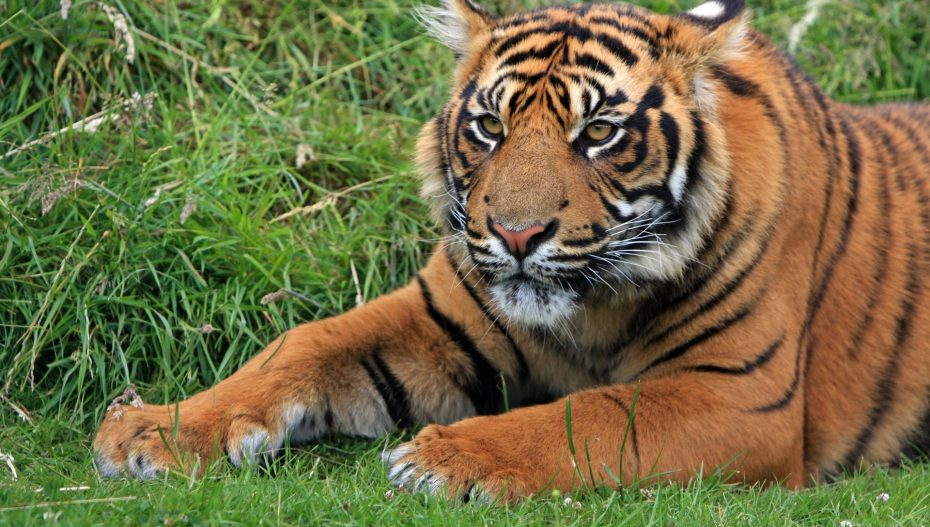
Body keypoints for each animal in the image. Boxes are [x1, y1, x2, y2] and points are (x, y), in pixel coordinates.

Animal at [93, 0, 930, 502]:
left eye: (599, 132)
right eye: (490, 127)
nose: (518, 235)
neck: (591, 307)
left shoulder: (739, 393)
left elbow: (593, 414)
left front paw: (442, 459)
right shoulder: (435, 317)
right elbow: (300, 345)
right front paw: (150, 430)